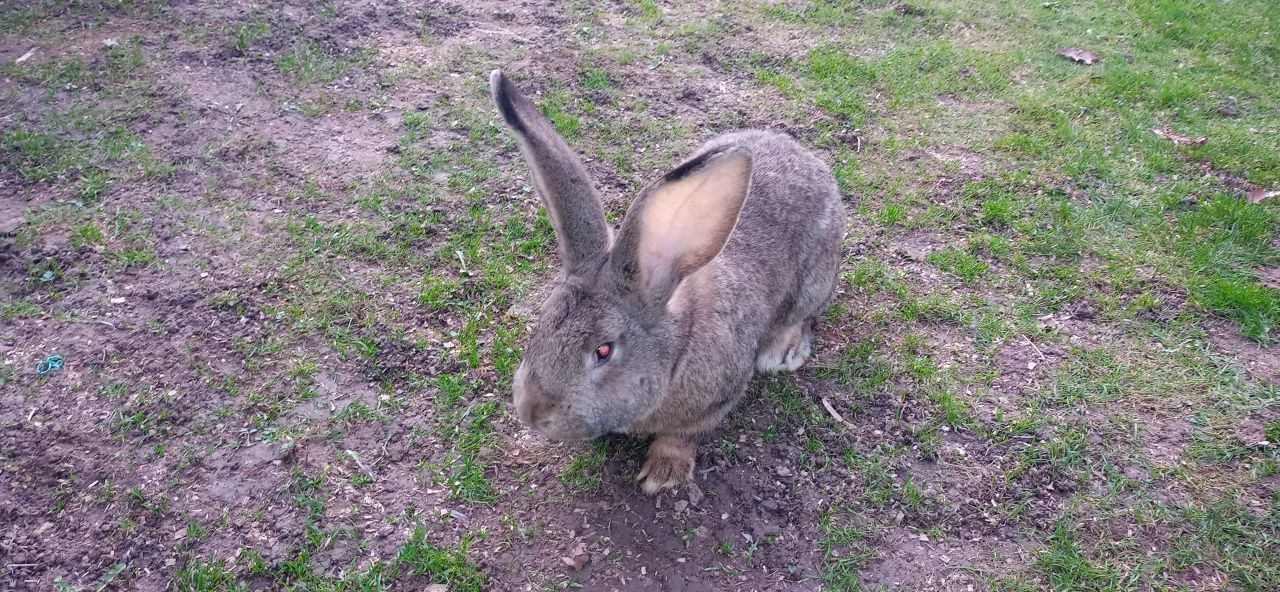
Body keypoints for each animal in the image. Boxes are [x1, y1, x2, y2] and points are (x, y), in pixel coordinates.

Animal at [491, 69, 849, 494]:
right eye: (541, 323)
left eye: (603, 351)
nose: (532, 410)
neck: (677, 348)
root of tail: (810, 160)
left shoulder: (717, 398)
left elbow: (683, 435)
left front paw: (663, 473)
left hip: (814, 279)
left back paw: (781, 351)